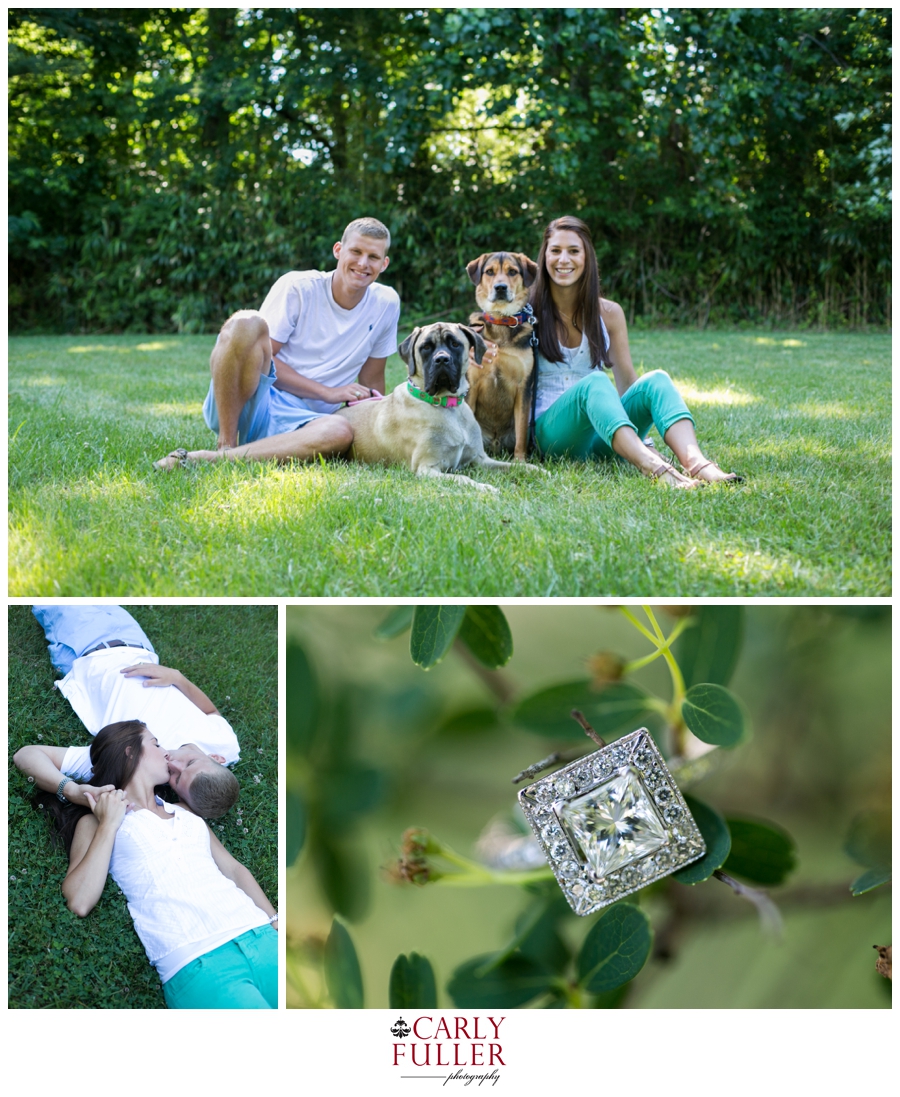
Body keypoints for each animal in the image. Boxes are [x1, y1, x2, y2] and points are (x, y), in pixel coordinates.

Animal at [335, 320, 542, 493]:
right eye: (426, 347)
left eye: (455, 344)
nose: (441, 359)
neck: (447, 405)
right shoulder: (427, 468)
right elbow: (463, 479)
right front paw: (485, 488)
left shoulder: (481, 459)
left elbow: (514, 466)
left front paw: (538, 471)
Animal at [467, 251, 537, 460]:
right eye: (489, 272)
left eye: (512, 272)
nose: (500, 287)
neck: (501, 320)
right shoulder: (472, 384)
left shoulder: (523, 387)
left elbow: (521, 431)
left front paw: (520, 461)